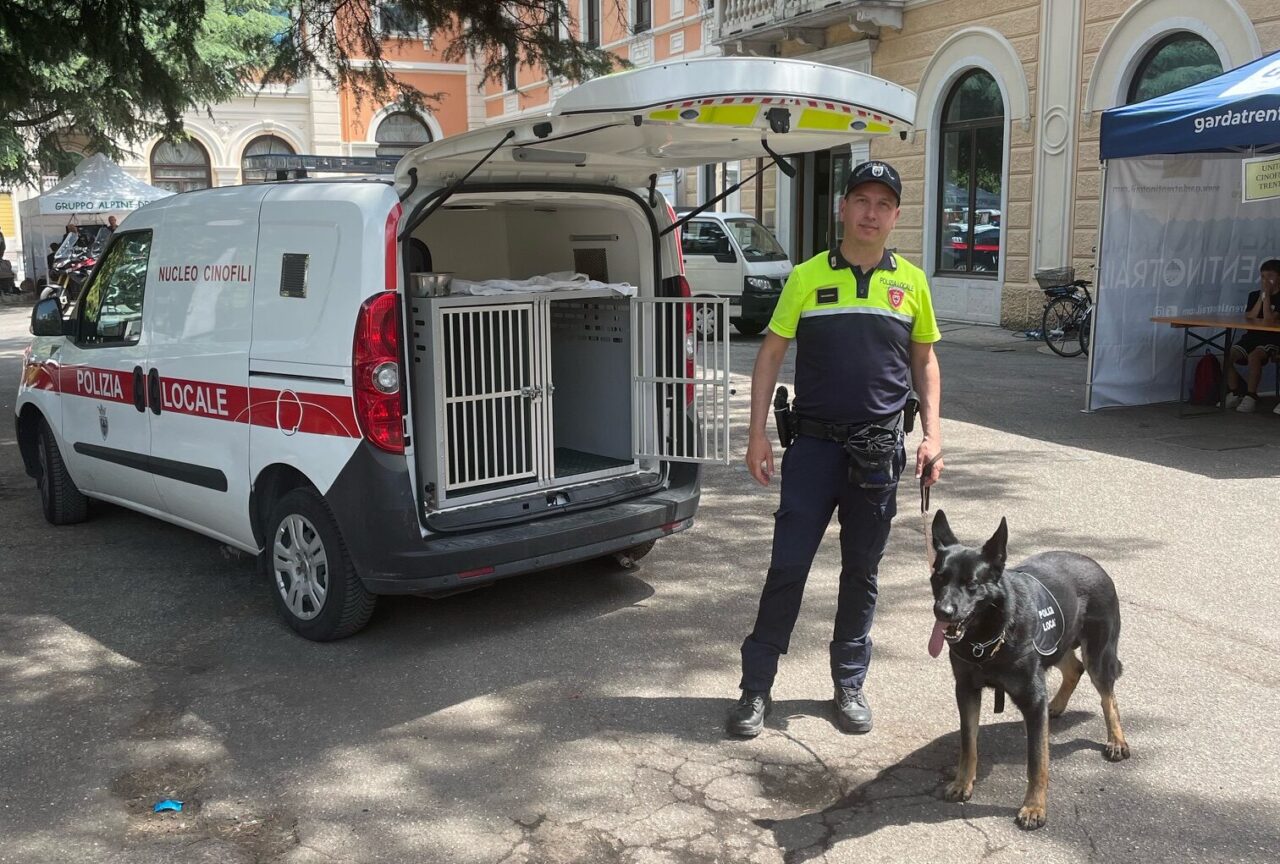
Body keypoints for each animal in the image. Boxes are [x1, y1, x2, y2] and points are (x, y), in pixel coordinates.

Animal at [926, 514, 1126, 829]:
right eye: (939, 578)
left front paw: (1034, 807)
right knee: (1074, 669)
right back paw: (1056, 706)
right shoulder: (966, 691)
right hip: (1057, 646)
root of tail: (1094, 563)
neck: (991, 634)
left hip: (1098, 655)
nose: (942, 611)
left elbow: (1037, 760)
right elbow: (968, 743)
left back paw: (1116, 739)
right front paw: (962, 782)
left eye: (972, 584)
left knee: (1107, 696)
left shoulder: (1032, 701)